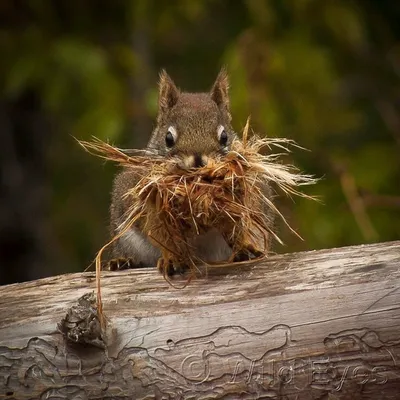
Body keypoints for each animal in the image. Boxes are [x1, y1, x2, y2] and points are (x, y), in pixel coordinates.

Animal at [108, 69, 274, 276]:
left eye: (224, 137)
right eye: (168, 138)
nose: (198, 160)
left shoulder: (246, 198)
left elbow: (241, 225)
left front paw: (244, 247)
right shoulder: (150, 204)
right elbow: (161, 235)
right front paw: (173, 259)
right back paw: (125, 261)